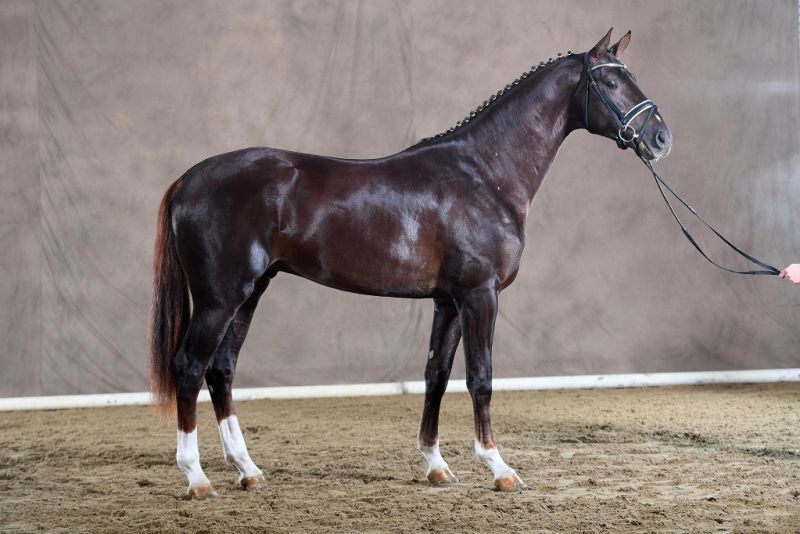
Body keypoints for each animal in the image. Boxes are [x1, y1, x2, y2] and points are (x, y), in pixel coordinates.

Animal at [149, 28, 672, 499]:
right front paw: (499, 468)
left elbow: (436, 376)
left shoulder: (447, 302)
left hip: (250, 293)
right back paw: (196, 478)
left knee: (221, 371)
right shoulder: (479, 295)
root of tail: (189, 179)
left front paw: (436, 466)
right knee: (189, 367)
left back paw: (248, 470)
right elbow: (480, 377)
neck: (485, 173)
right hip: (219, 299)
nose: (661, 137)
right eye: (611, 82)